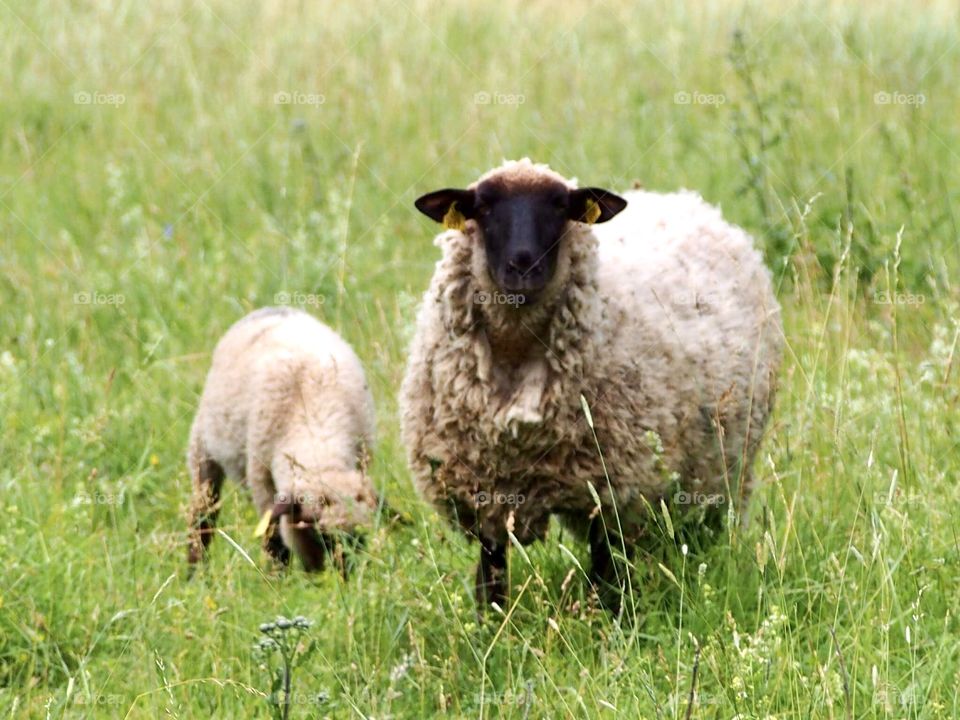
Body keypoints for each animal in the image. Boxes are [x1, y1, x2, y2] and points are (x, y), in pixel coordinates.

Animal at [186, 306, 378, 573]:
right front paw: (278, 578)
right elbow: (274, 540)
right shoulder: (264, 484)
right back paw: (195, 573)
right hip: (203, 449)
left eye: (359, 540)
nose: (342, 578)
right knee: (203, 516)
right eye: (317, 531)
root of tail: (269, 310)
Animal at [400, 159, 782, 612]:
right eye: (484, 207)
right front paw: (493, 625)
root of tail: (686, 200)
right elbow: (491, 579)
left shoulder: (613, 490)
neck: (515, 355)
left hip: (723, 468)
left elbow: (606, 578)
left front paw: (606, 623)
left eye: (560, 207)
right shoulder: (487, 495)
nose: (523, 265)